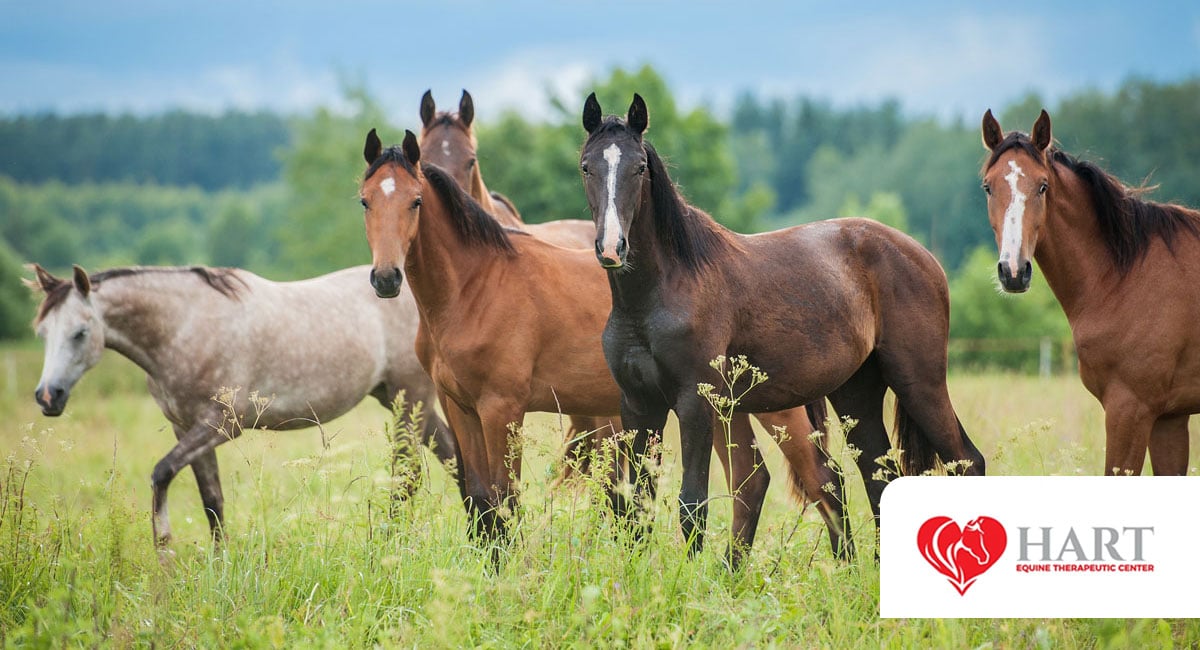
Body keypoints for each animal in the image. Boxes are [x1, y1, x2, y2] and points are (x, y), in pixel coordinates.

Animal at [355, 128, 854, 566]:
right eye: (365, 200)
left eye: (416, 201)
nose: (386, 278)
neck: (476, 287)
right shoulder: (459, 406)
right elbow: (479, 499)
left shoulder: (502, 409)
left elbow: (505, 497)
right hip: (728, 406)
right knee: (751, 481)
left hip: (776, 410)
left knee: (822, 481)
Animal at [580, 92, 984, 561]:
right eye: (587, 166)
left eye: (640, 167)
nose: (612, 247)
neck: (658, 293)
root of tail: (923, 256)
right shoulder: (638, 405)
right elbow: (635, 504)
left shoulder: (694, 403)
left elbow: (692, 504)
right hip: (857, 394)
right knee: (877, 476)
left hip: (920, 382)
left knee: (967, 462)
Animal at [979, 109, 1200, 477]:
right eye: (988, 187)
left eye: (1043, 185)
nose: (1013, 271)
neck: (1123, 276)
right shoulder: (1169, 419)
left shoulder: (1130, 411)